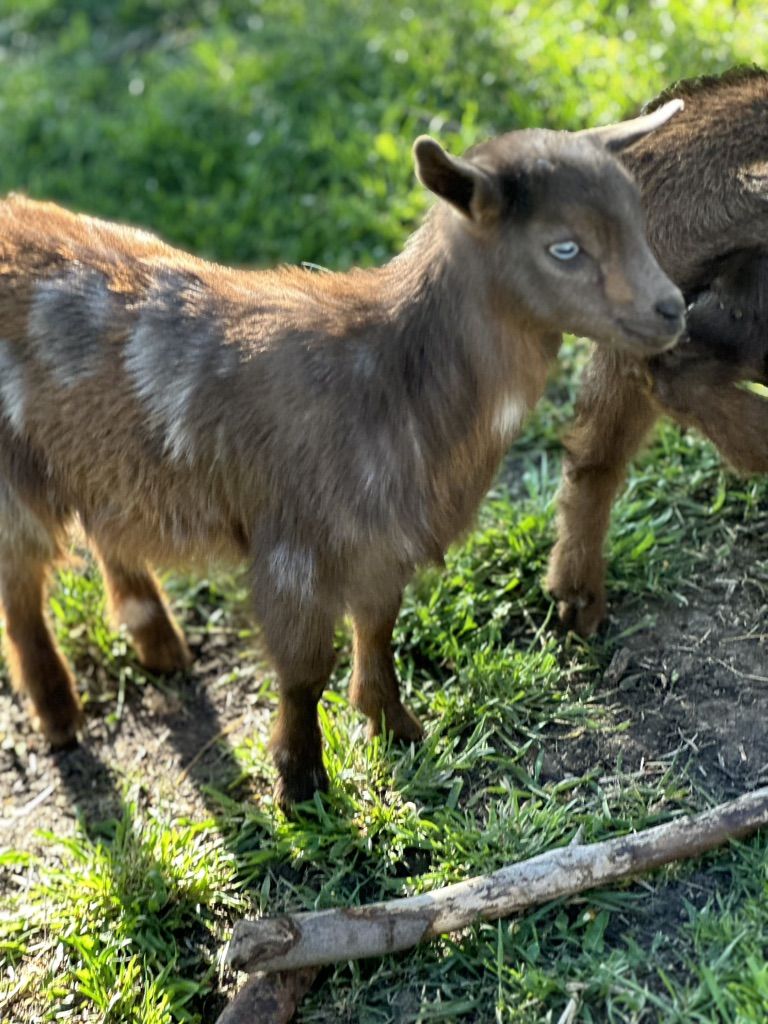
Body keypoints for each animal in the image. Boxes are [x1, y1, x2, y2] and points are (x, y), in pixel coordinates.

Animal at [0, 104, 684, 808]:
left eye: (636, 216)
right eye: (564, 246)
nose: (673, 310)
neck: (390, 372)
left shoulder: (384, 536)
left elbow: (378, 627)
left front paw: (395, 727)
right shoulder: (293, 545)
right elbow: (304, 669)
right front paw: (301, 783)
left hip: (99, 465)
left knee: (106, 534)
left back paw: (160, 644)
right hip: (13, 475)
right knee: (20, 590)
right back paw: (59, 715)